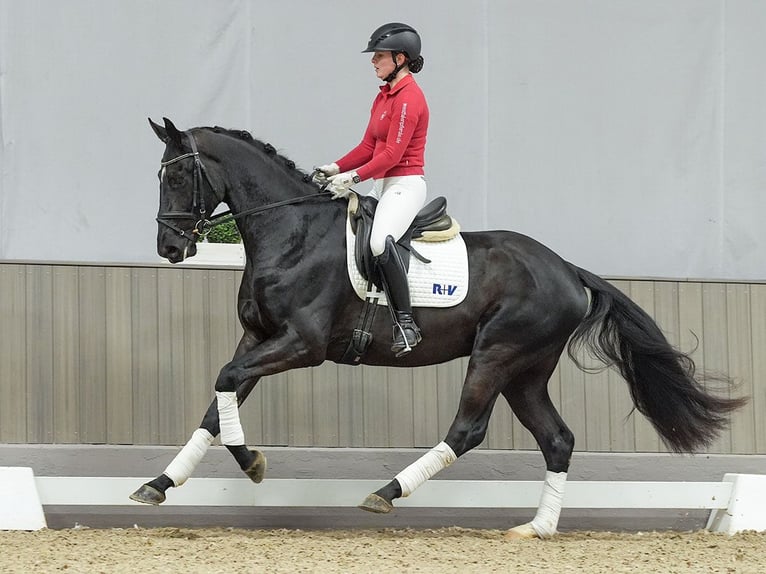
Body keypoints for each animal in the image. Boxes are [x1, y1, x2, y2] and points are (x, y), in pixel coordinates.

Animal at [134, 119, 752, 544]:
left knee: (467, 429)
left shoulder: (301, 345)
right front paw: (160, 484)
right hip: (525, 372)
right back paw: (537, 528)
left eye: (180, 173)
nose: (169, 246)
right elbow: (217, 404)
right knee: (557, 438)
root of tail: (567, 269)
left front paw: (252, 464)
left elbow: (224, 382)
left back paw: (386, 494)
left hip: (496, 355)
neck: (293, 231)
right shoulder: (258, 339)